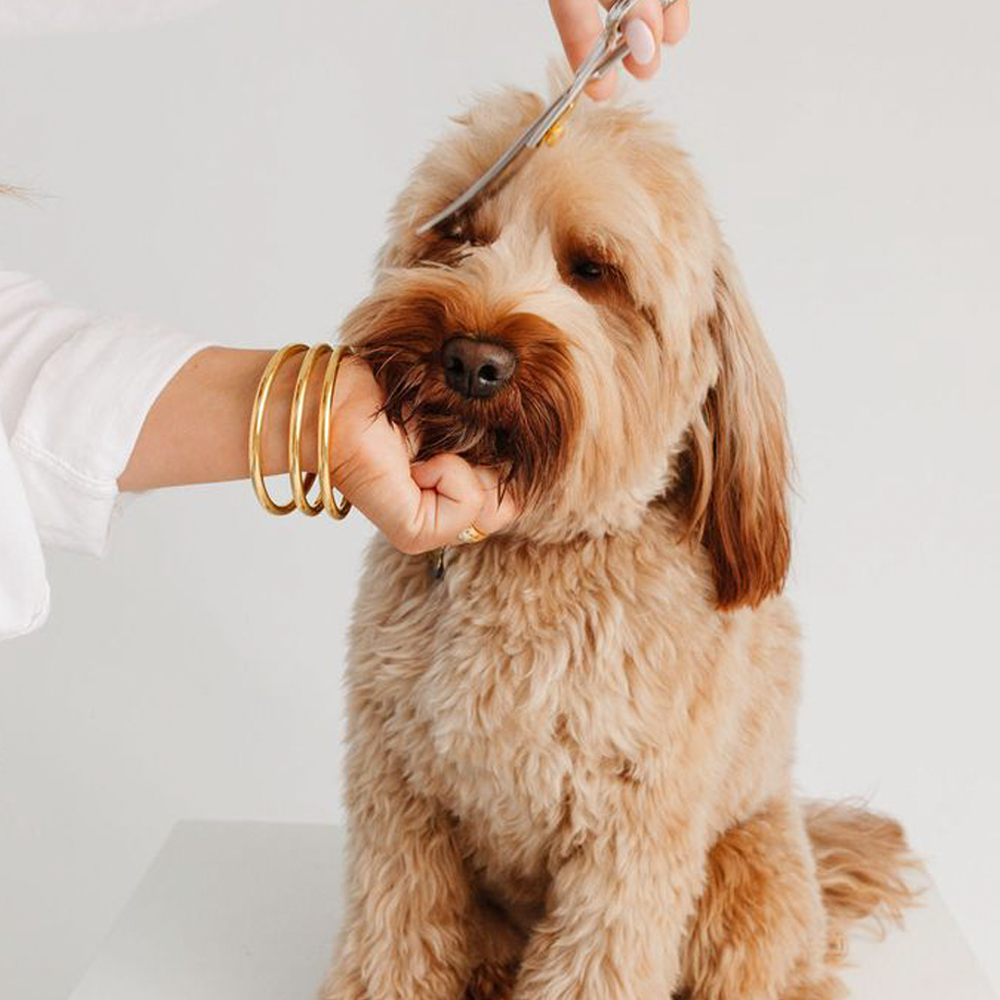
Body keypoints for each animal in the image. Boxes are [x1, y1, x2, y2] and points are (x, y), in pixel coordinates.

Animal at [322, 86, 920, 1000]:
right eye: (458, 234)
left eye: (593, 270)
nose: (472, 361)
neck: (535, 553)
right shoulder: (399, 800)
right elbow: (396, 940)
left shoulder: (630, 840)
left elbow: (596, 963)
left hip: (745, 881)